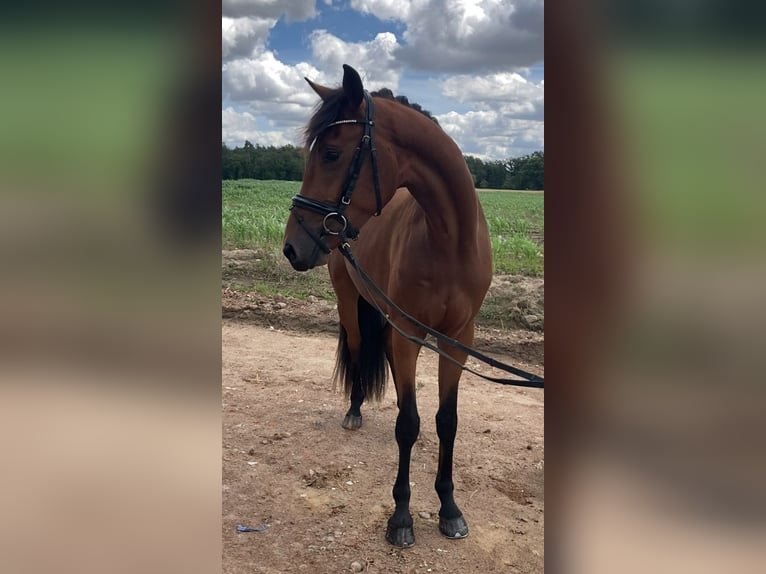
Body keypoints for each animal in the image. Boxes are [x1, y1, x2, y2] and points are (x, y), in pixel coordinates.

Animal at [282, 64, 492, 548]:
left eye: (332, 154)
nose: (291, 246)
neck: (449, 240)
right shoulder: (409, 330)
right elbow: (408, 425)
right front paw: (401, 516)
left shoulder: (457, 338)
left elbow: (446, 419)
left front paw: (449, 508)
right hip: (355, 304)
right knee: (361, 352)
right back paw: (354, 411)